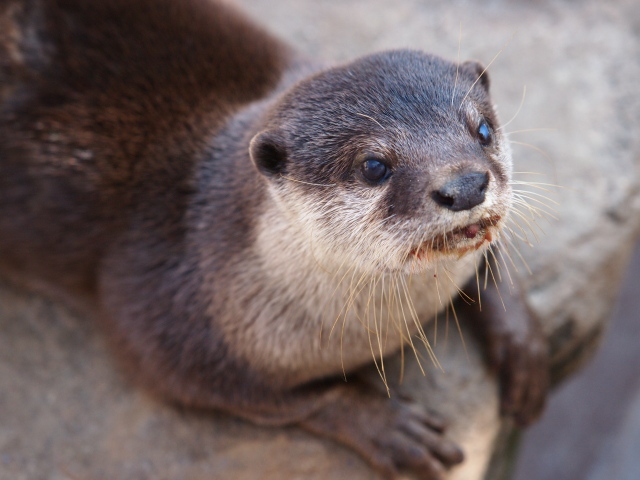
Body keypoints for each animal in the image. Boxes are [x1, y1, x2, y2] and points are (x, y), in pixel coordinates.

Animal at [0, 0, 548, 478]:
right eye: (374, 166)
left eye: (481, 129)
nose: (466, 186)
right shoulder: (165, 331)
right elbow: (298, 399)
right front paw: (389, 426)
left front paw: (523, 349)